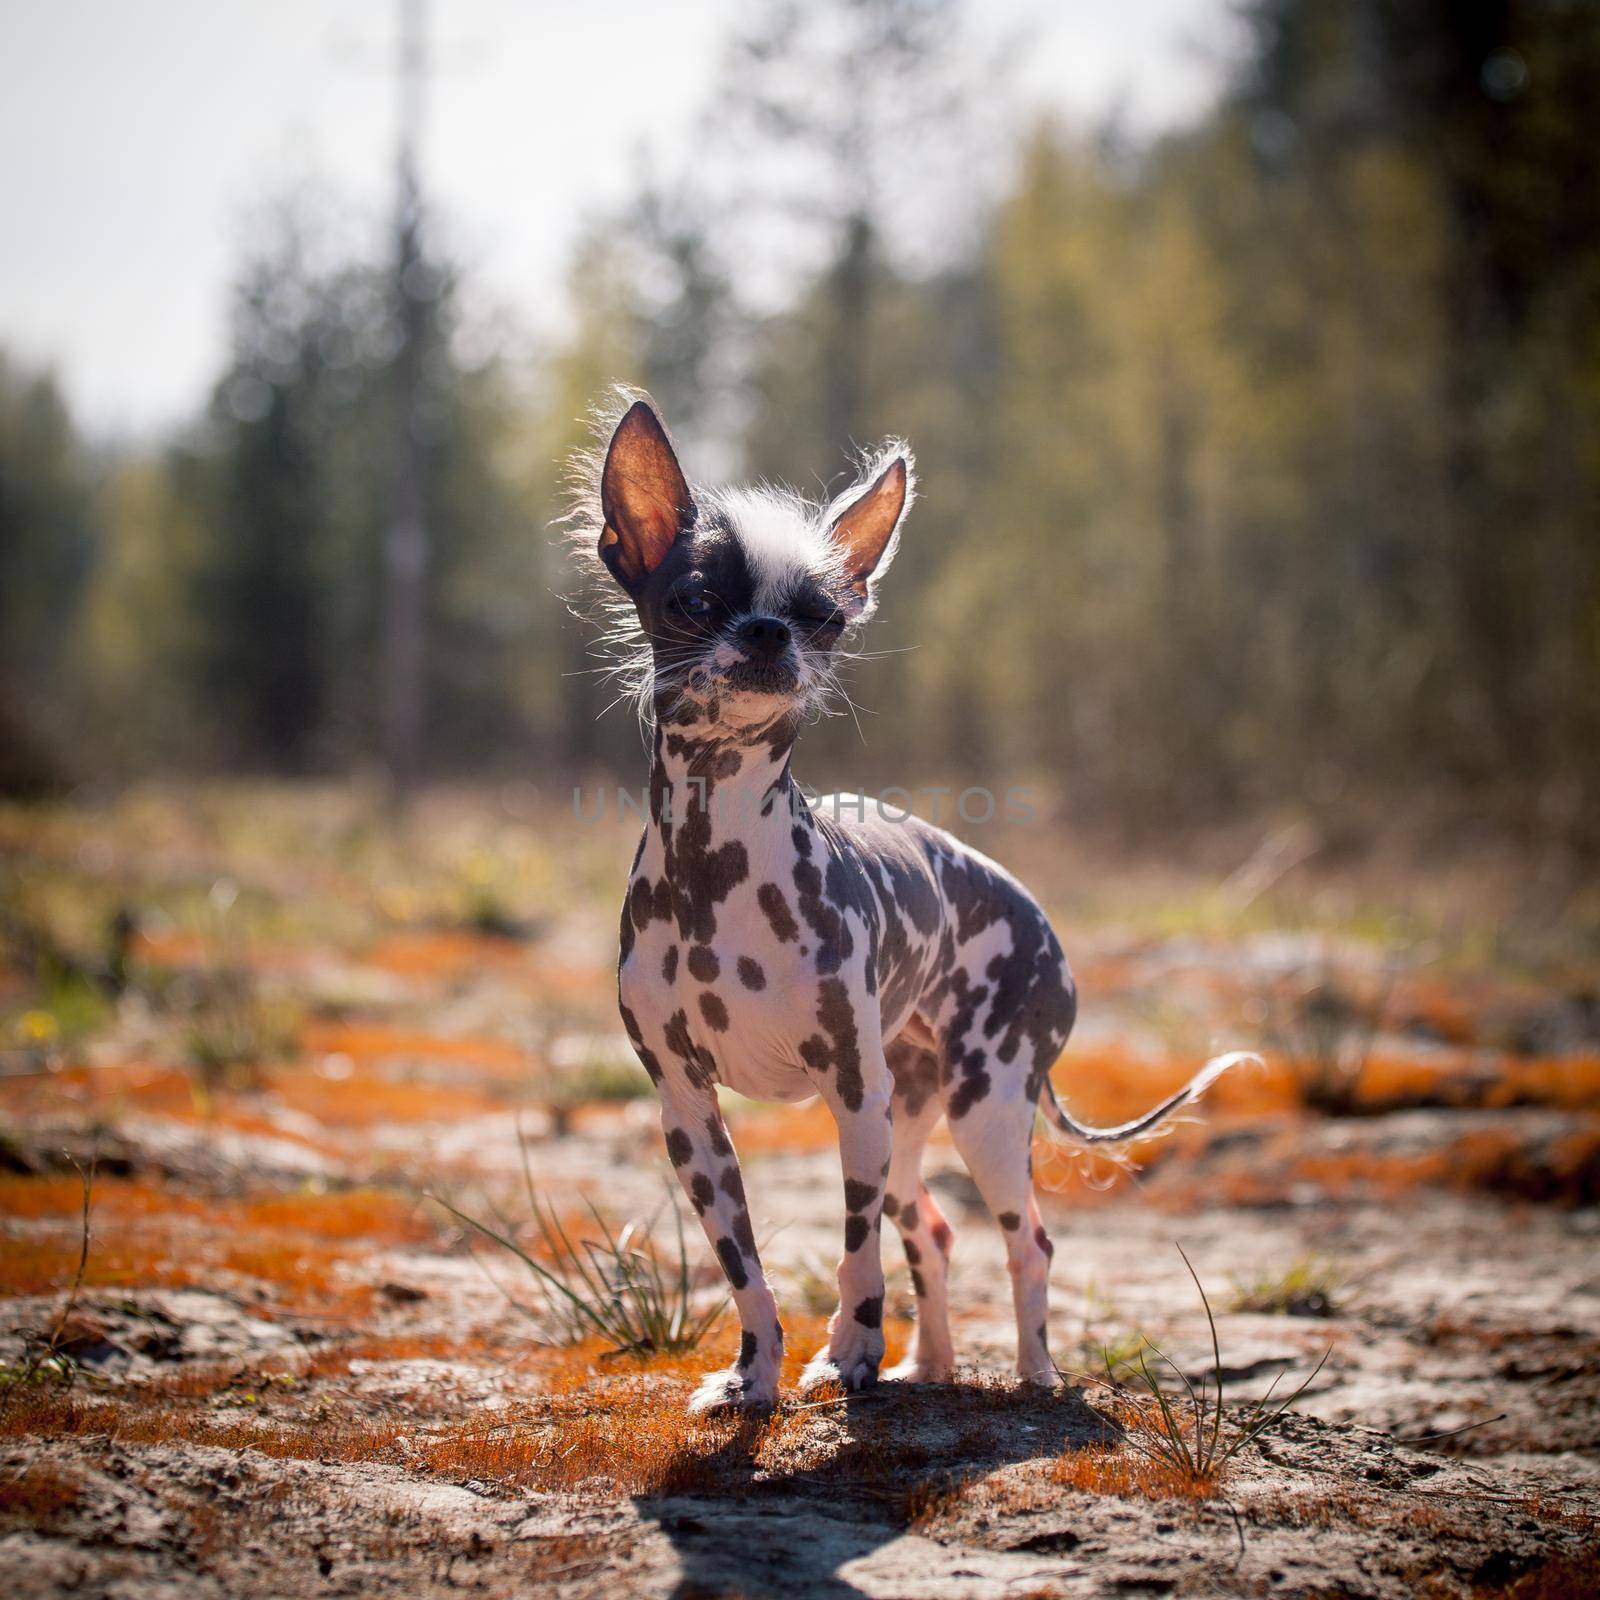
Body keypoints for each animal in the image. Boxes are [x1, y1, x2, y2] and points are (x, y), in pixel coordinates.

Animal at [566, 390, 1248, 1414]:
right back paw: (931, 1364)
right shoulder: (688, 1112)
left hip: (983, 1111)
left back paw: (1033, 1376)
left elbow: (856, 1256)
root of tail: (1044, 924)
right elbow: (744, 1266)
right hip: (911, 1113)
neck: (719, 863)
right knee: (932, 1227)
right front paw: (753, 1375)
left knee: (1025, 1239)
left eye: (822, 617)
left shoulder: (853, 1098)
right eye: (692, 600)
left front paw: (848, 1355)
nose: (767, 632)